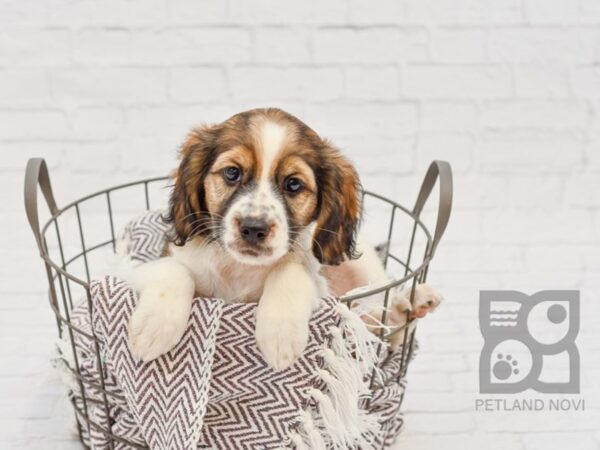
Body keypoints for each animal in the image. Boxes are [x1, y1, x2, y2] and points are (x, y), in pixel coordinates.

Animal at [126, 109, 440, 370]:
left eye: (293, 184)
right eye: (232, 172)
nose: (254, 228)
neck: (240, 268)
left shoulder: (318, 285)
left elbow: (290, 269)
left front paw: (281, 333)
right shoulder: (138, 270)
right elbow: (174, 270)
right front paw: (154, 326)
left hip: (364, 269)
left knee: (382, 322)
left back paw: (408, 304)